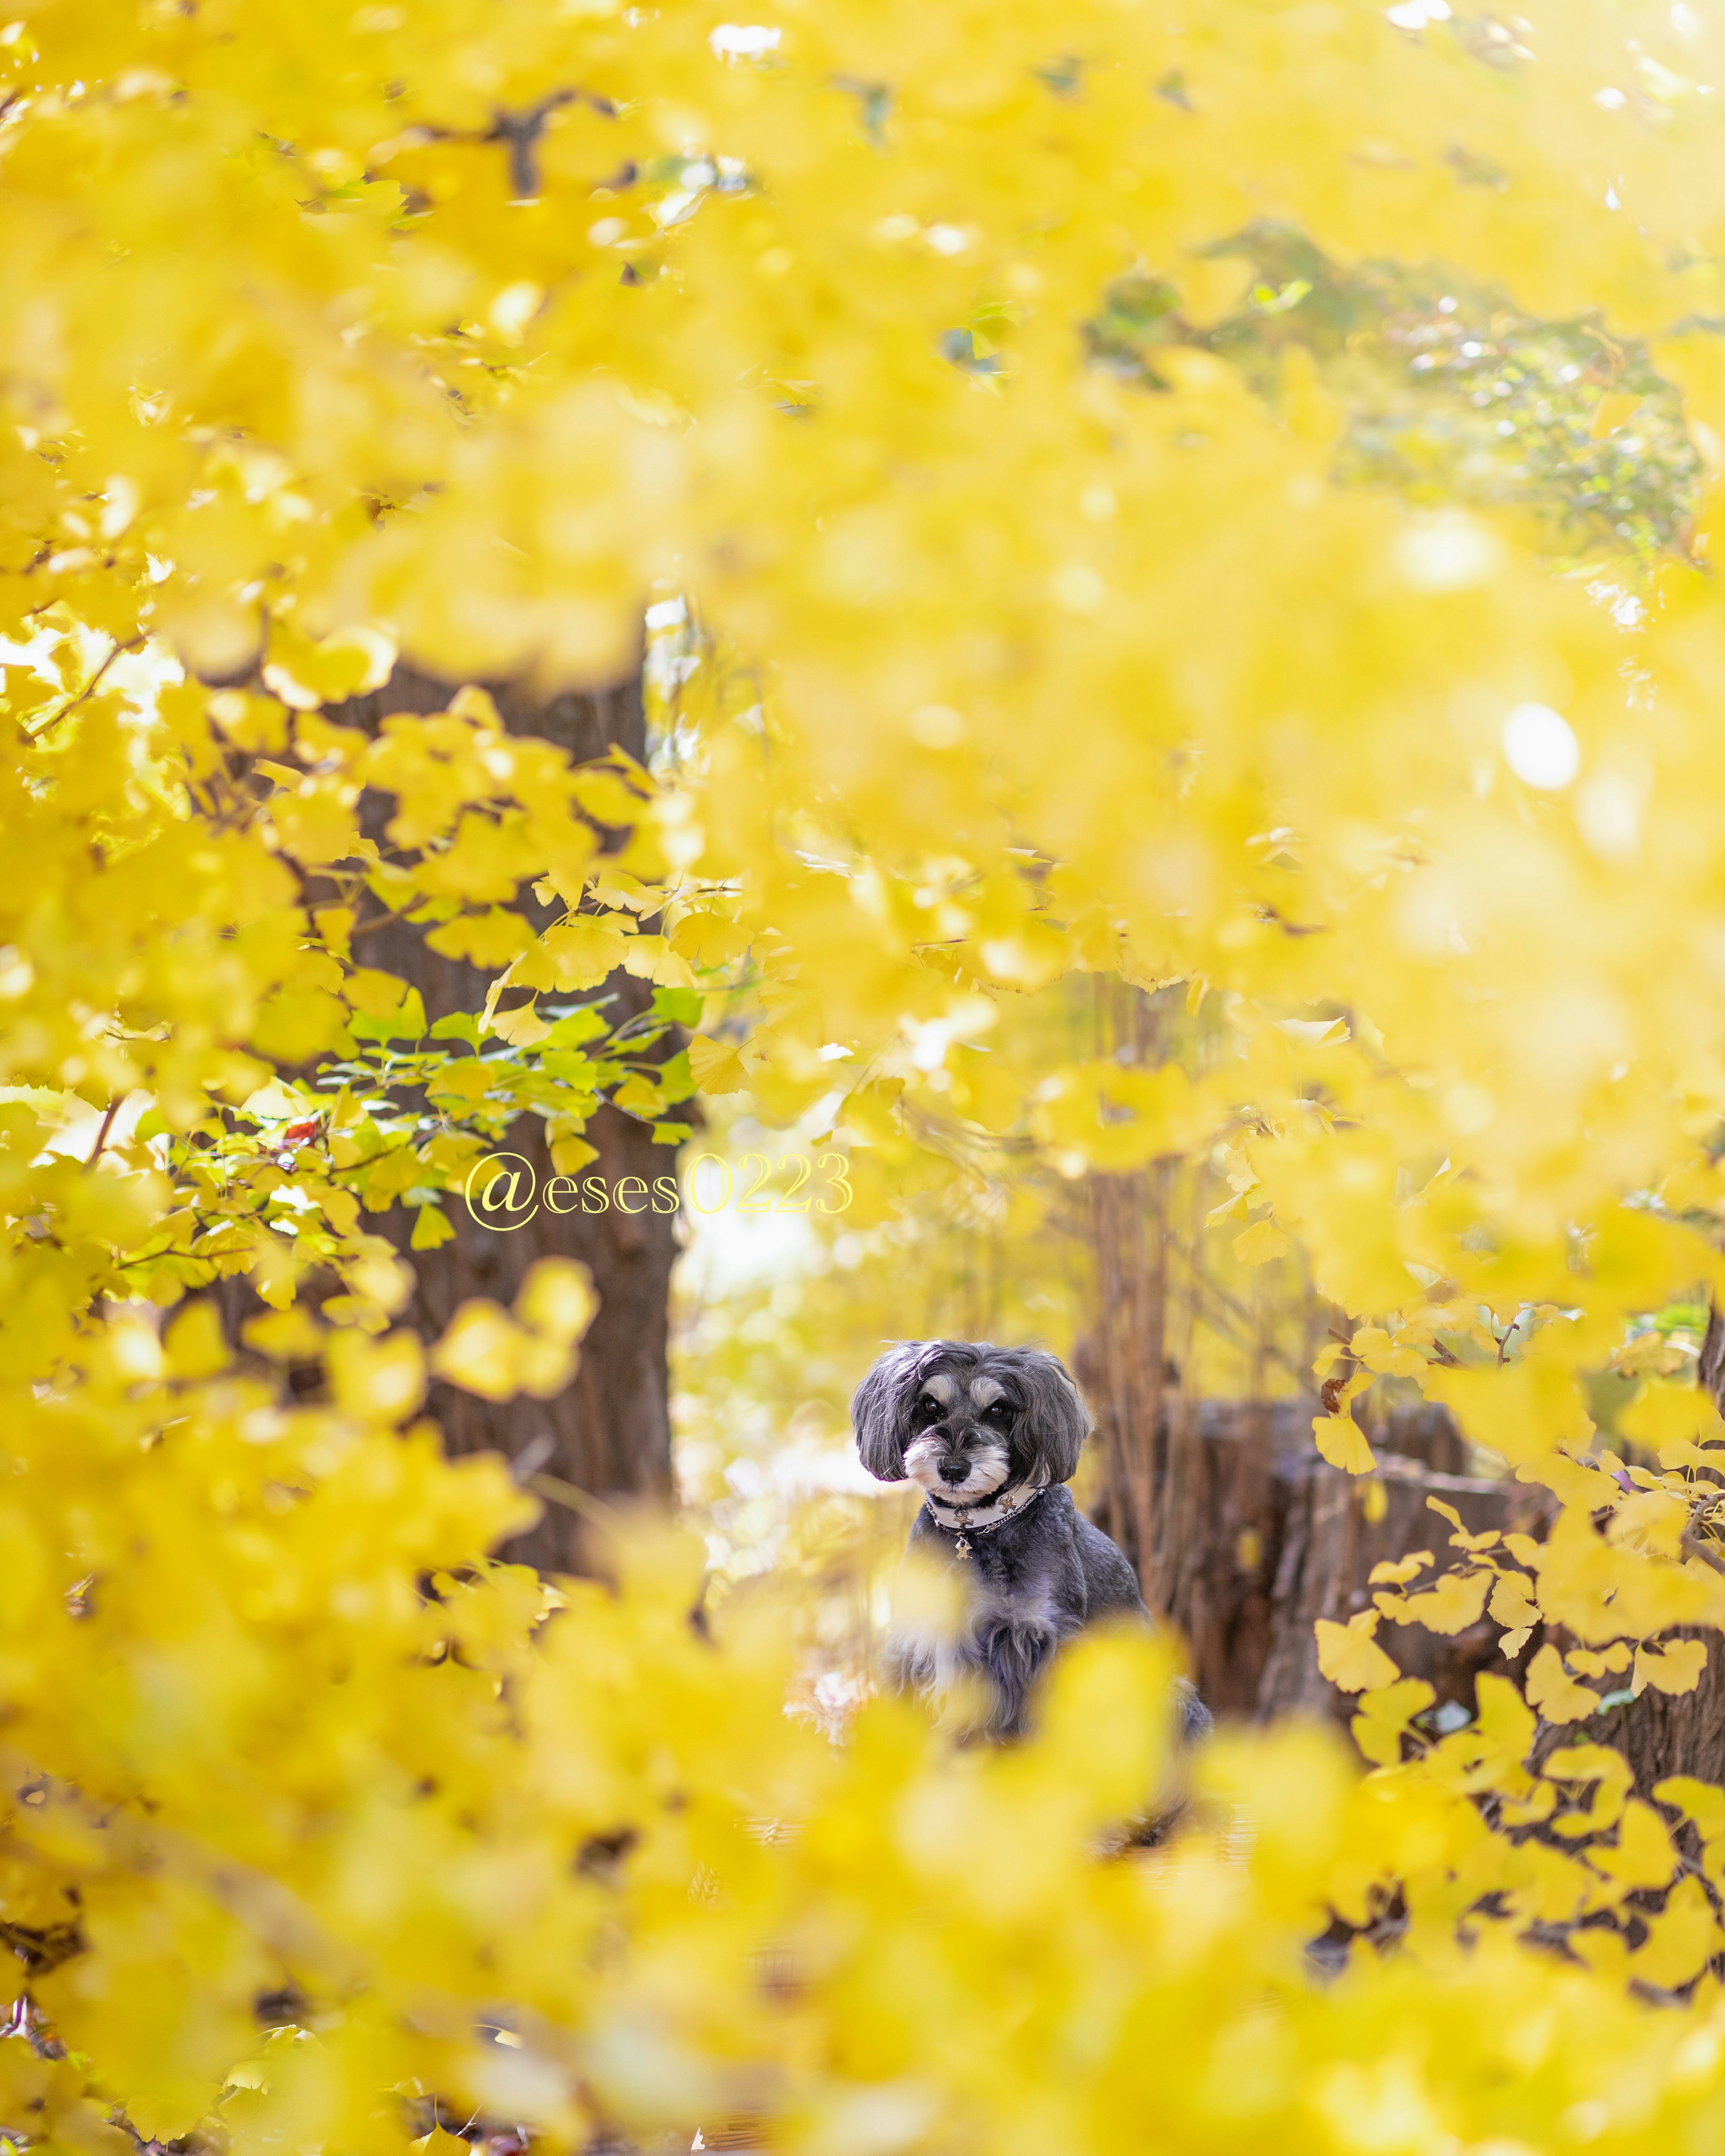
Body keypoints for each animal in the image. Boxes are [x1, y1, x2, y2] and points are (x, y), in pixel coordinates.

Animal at [854, 1345, 1216, 1750]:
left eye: (998, 1409)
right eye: (930, 1405)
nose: (953, 1469)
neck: (977, 1529)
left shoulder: (1045, 1637)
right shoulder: (923, 1641)